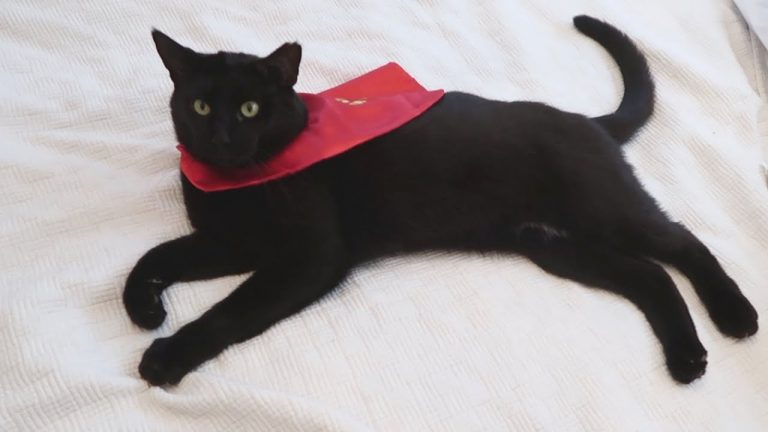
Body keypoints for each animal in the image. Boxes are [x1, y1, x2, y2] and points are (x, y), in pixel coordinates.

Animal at [124, 15, 758, 386]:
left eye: (251, 109)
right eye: (201, 106)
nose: (222, 137)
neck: (235, 185)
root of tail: (587, 121)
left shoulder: (310, 255)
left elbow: (231, 310)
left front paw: (167, 355)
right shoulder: (231, 241)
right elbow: (154, 255)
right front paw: (143, 306)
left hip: (604, 211)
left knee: (682, 242)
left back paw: (734, 315)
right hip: (556, 246)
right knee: (650, 275)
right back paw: (685, 356)